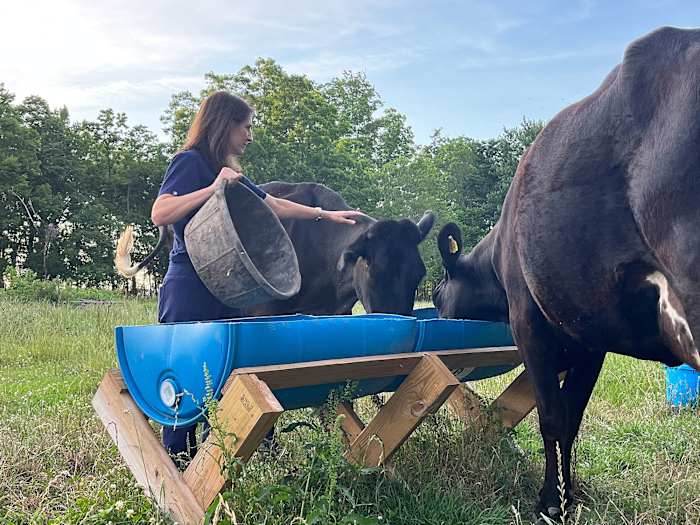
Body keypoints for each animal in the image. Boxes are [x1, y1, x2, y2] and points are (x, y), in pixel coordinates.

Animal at [433, 26, 700, 520]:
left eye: (439, 294)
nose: (438, 316)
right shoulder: (590, 338)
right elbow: (573, 416)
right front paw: (569, 493)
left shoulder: (530, 322)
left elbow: (553, 417)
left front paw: (550, 502)